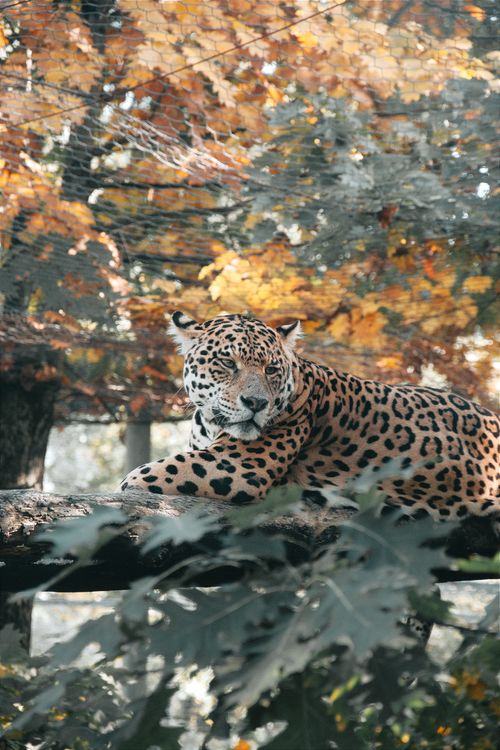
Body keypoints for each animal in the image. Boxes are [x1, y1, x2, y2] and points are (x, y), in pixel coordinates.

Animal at [121, 311, 500, 522]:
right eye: (228, 363)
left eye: (271, 369)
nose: (256, 402)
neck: (210, 422)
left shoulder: (236, 465)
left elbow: (136, 477)